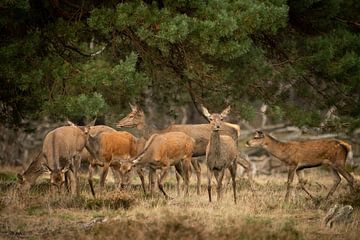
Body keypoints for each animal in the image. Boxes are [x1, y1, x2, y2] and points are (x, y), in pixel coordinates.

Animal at [116, 104, 252, 194]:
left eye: (131, 115)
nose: (118, 123)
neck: (160, 132)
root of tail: (237, 129)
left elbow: (181, 176)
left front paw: (181, 193)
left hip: (232, 150)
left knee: (246, 163)